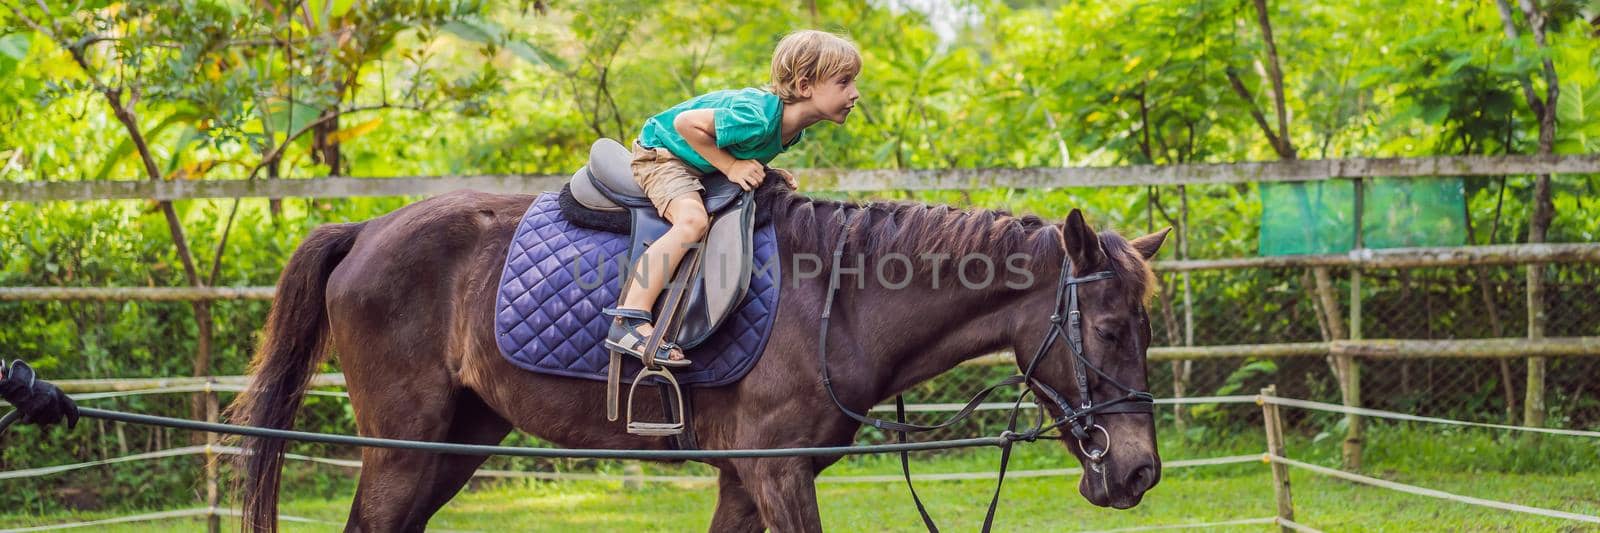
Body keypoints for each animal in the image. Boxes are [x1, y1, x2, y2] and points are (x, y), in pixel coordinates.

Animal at [232, 176, 1171, 528]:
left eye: (1145, 328)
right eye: (1110, 329)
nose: (1138, 471)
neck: (841, 300)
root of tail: (365, 230)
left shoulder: (743, 479)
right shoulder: (779, 474)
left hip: (453, 443)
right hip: (402, 446)